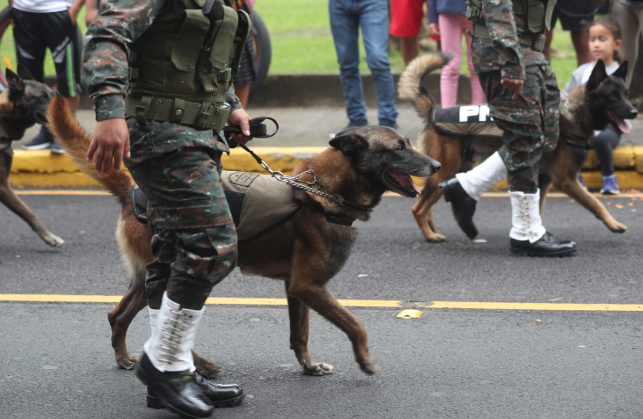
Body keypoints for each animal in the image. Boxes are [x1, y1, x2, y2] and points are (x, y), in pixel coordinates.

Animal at [47, 94, 442, 378]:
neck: (322, 191)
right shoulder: (310, 286)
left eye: (409, 143)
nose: (437, 165)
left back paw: (126, 358)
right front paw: (365, 360)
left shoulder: (296, 289)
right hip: (192, 267)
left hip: (147, 275)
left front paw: (309, 367)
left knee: (118, 316)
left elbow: (300, 334)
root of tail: (134, 192)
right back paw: (198, 366)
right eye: (399, 148)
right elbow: (355, 324)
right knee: (161, 316)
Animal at [400, 53, 640, 243]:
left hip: (456, 168)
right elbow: (595, 203)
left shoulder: (544, 179)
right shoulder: (566, 180)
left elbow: (537, 207)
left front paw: (533, 234)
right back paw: (430, 235)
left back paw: (435, 227)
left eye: (626, 94)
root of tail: (433, 111)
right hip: (446, 170)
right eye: (611, 96)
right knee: (417, 207)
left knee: (429, 198)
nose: (634, 112)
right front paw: (614, 224)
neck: (574, 113)